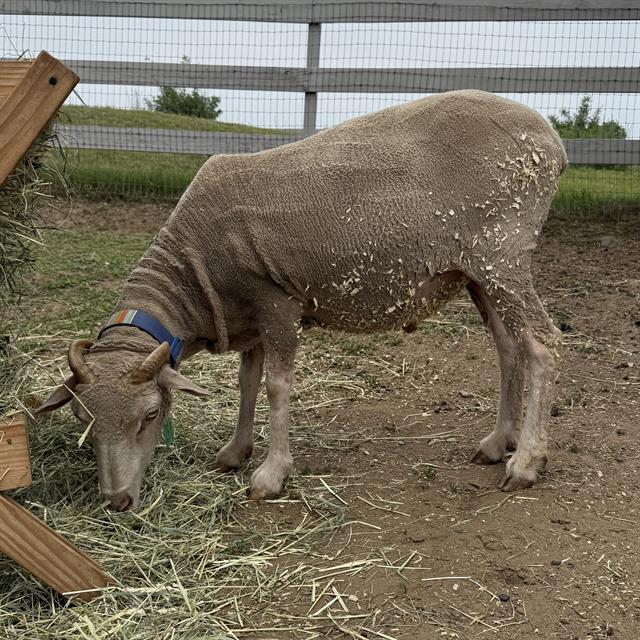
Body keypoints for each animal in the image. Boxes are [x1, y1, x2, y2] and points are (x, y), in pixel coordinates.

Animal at [36, 90, 566, 511]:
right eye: (82, 420)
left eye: (150, 415)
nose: (117, 501)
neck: (191, 269)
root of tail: (553, 142)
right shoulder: (247, 313)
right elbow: (247, 382)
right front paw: (235, 452)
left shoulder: (276, 303)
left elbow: (276, 386)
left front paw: (271, 475)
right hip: (478, 271)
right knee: (508, 346)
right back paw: (498, 442)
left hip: (502, 252)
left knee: (542, 344)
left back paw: (526, 462)